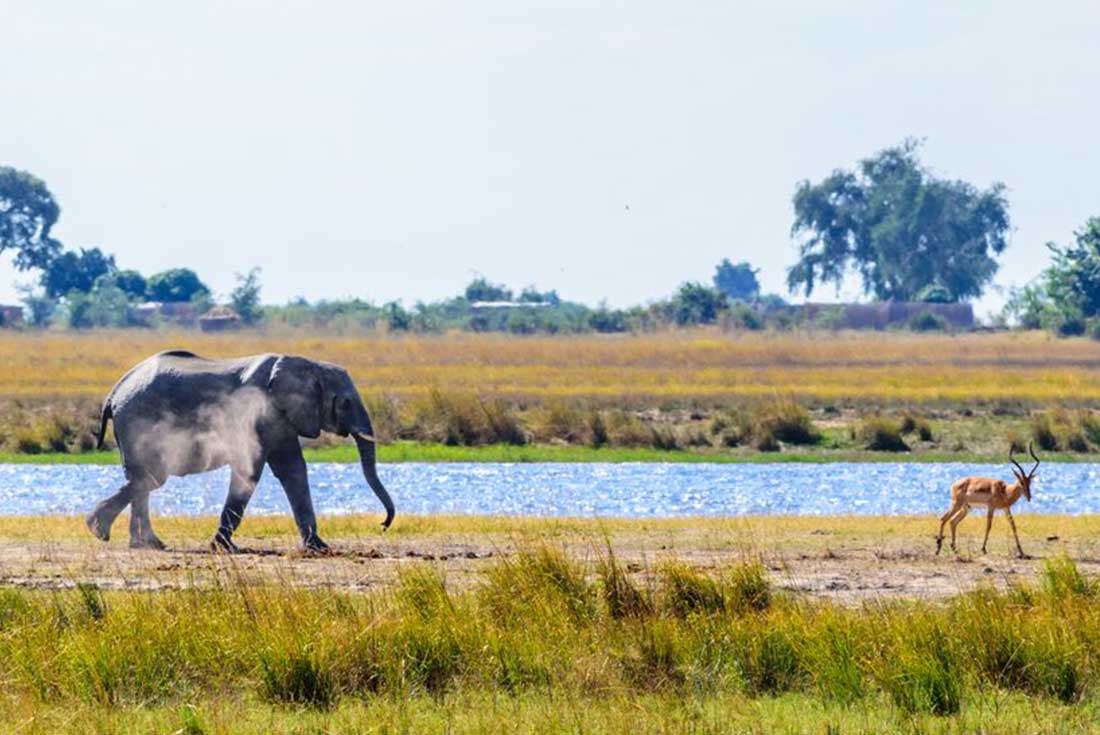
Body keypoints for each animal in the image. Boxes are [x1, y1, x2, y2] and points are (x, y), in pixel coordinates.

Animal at [85, 349, 396, 550]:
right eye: (345, 403)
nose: (382, 525)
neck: (306, 364)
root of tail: (115, 391)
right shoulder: (258, 414)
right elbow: (251, 470)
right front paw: (222, 547)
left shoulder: (280, 418)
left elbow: (293, 470)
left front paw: (319, 547)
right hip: (138, 421)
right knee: (151, 477)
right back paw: (99, 530)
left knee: (144, 479)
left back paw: (145, 544)